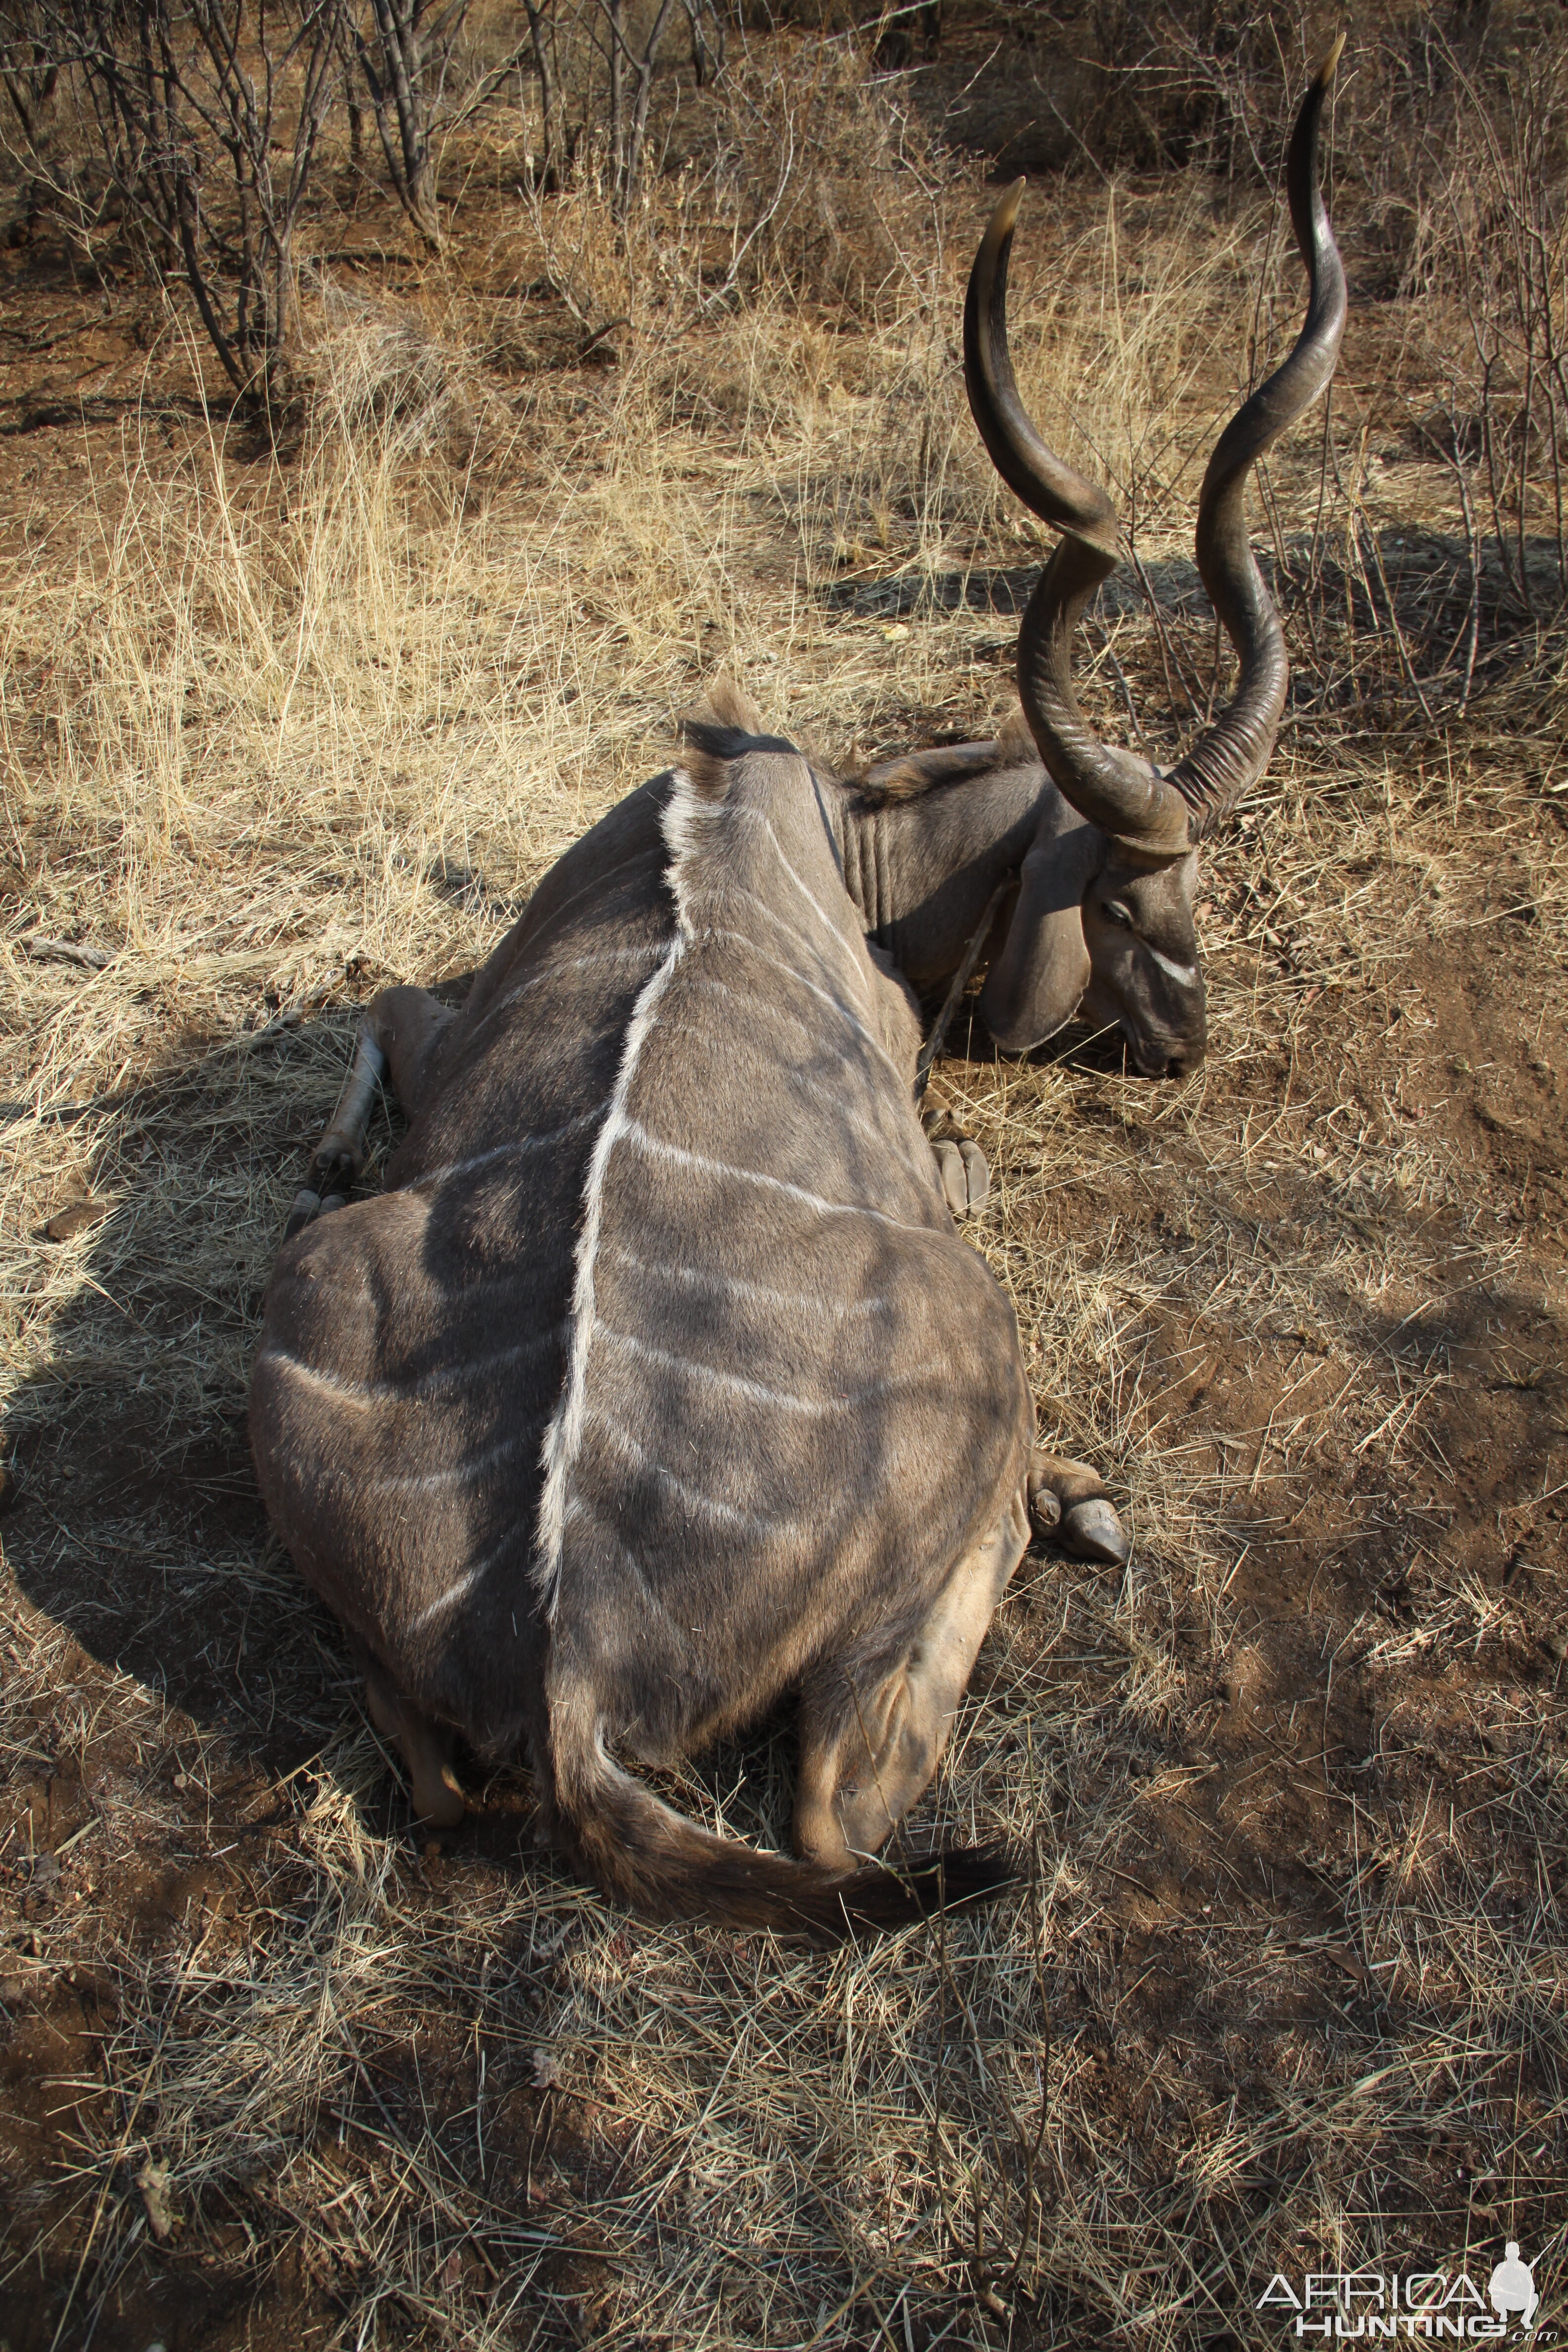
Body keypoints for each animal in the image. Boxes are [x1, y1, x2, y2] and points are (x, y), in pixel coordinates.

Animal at [251, 59, 1344, 1928]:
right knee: (842, 1818)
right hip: (966, 1340)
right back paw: (1073, 1502)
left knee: (453, 1791)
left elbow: (388, 990)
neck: (819, 817)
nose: (1187, 1048)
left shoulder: (455, 1007)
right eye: (1135, 904)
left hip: (304, 1357)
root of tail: (572, 1692)